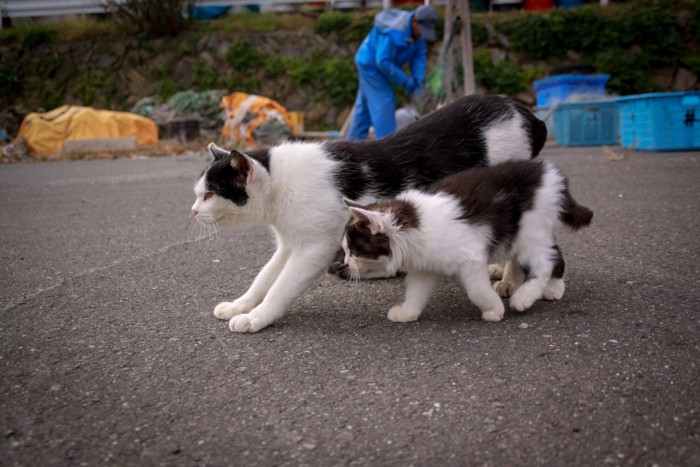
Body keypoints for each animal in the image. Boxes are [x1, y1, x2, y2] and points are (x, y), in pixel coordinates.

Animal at [191, 94, 548, 332]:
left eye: (208, 195)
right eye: (198, 193)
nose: (192, 211)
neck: (280, 182)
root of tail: (520, 109)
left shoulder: (314, 249)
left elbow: (281, 287)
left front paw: (255, 319)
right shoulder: (289, 244)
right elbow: (264, 278)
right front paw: (239, 306)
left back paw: (508, 280)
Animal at [342, 160, 592, 322]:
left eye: (355, 251)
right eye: (346, 250)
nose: (345, 264)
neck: (413, 229)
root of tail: (551, 173)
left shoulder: (471, 257)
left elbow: (476, 289)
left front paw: (493, 309)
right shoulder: (426, 266)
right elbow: (416, 292)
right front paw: (407, 312)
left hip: (528, 232)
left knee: (543, 264)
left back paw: (524, 298)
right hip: (533, 232)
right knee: (554, 255)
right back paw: (554, 288)